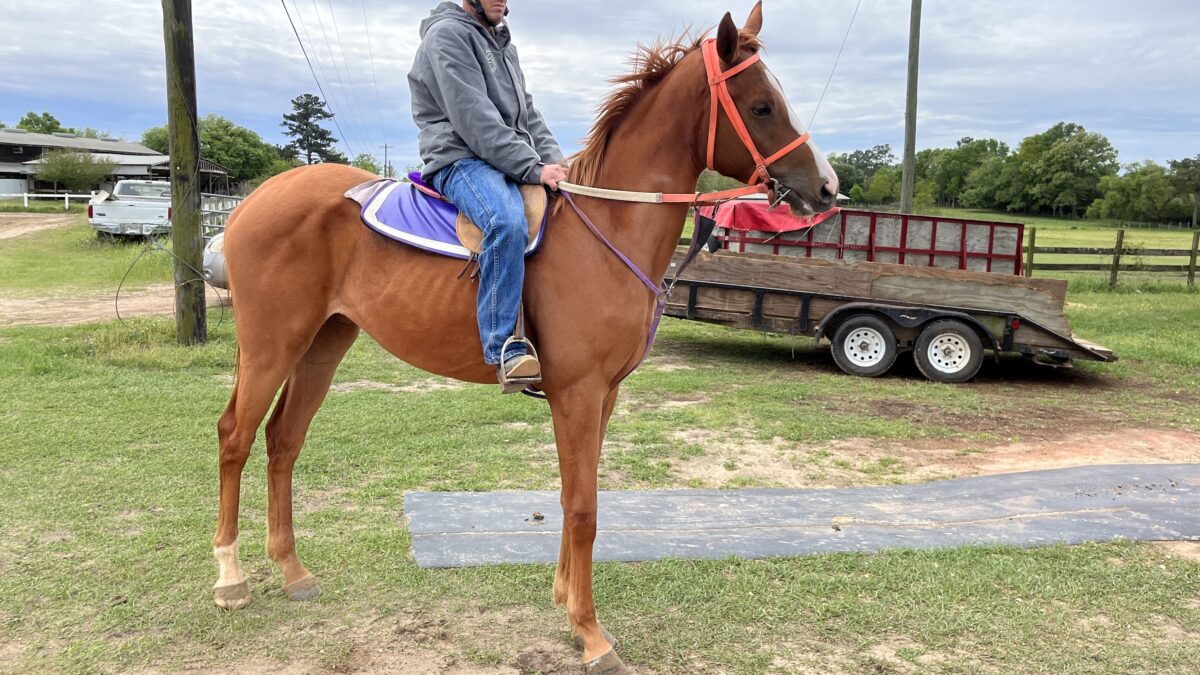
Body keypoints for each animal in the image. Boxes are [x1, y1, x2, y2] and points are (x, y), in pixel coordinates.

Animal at [211, 3, 837, 672]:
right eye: (762, 105)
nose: (828, 188)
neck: (606, 228)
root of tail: (252, 201)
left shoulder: (603, 395)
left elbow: (572, 498)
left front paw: (564, 599)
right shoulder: (578, 393)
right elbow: (584, 509)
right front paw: (591, 633)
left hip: (323, 345)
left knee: (283, 441)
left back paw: (292, 572)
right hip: (272, 346)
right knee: (236, 437)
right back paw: (230, 579)